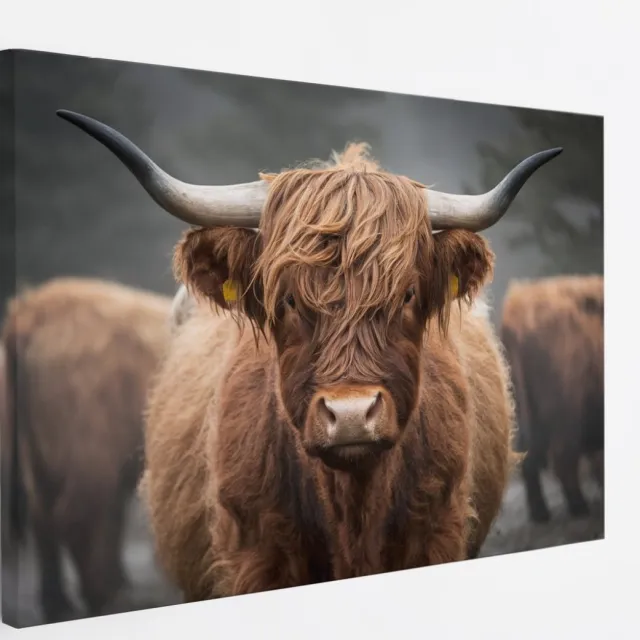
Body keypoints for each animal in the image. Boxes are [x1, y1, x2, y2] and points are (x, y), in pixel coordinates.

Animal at [1, 277, 172, 624]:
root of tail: (31, 310)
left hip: (41, 456)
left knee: (45, 519)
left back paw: (59, 602)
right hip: (89, 449)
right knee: (74, 518)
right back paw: (102, 598)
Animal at [500, 275, 604, 523]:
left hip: (527, 413)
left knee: (529, 458)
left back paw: (541, 513)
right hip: (565, 410)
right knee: (562, 456)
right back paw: (579, 507)